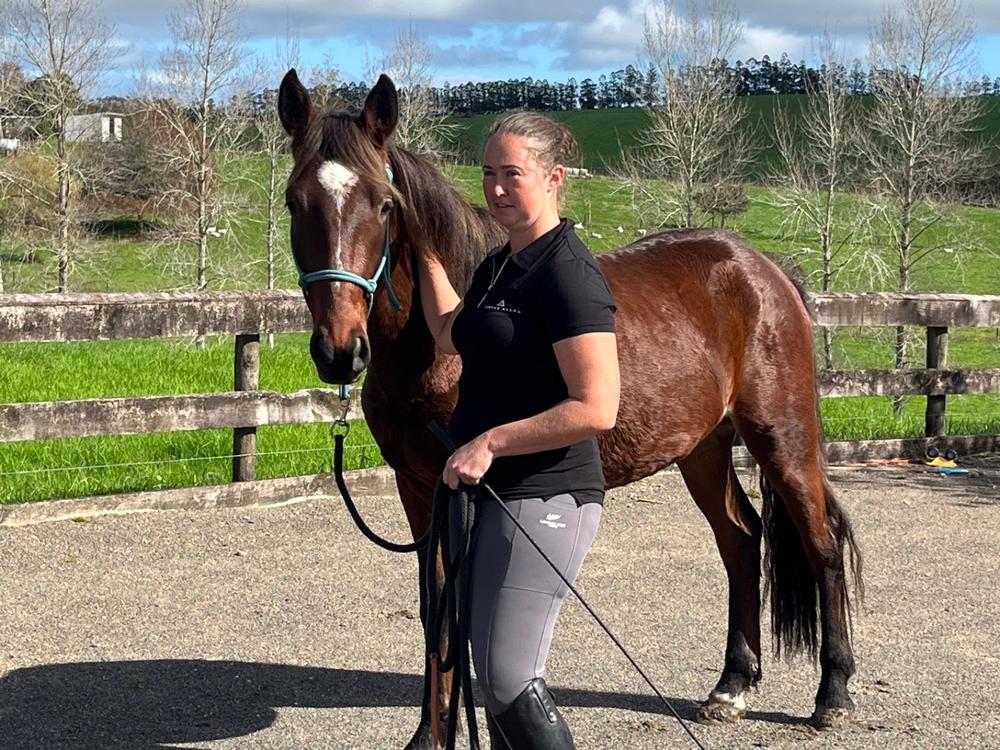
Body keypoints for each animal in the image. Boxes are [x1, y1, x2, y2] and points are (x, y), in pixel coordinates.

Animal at [277, 70, 863, 748]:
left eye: (384, 204)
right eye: (293, 201)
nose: (340, 351)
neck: (435, 349)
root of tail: (764, 270)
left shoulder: (462, 485)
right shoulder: (421, 489)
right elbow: (438, 612)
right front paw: (429, 736)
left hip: (781, 437)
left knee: (821, 544)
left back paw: (833, 695)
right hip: (703, 446)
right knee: (741, 540)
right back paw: (732, 687)